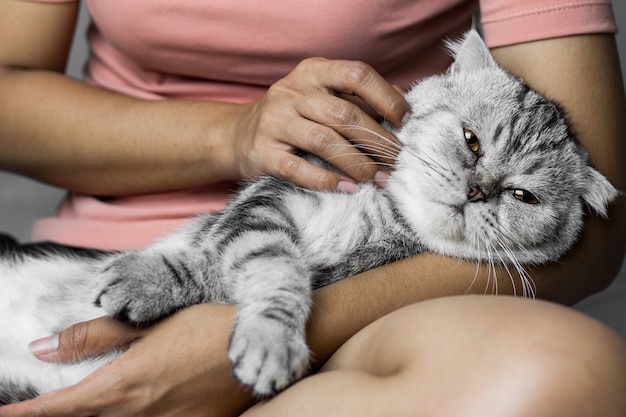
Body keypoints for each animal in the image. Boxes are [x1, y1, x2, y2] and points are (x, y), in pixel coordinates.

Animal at [0, 30, 616, 404]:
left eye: (523, 196)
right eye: (471, 140)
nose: (478, 189)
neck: (377, 210)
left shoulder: (329, 266)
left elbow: (267, 277)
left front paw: (266, 344)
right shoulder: (264, 203)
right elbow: (248, 257)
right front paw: (146, 277)